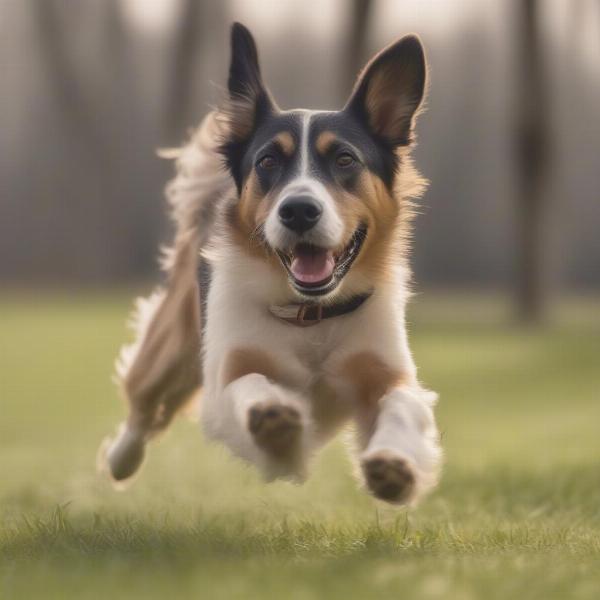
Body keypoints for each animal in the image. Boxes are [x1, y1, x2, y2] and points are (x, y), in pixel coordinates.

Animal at [99, 21, 440, 504]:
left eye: (344, 159)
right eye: (267, 161)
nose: (298, 210)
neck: (312, 316)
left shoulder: (383, 370)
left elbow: (403, 404)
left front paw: (395, 465)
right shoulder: (230, 368)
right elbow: (248, 384)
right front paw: (275, 421)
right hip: (174, 346)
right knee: (145, 404)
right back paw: (121, 460)